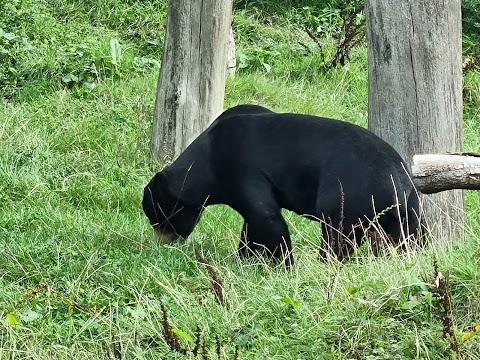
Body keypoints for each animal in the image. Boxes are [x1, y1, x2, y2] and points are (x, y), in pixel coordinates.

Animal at [142, 102, 420, 266]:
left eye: (159, 219)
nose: (161, 243)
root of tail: (399, 181)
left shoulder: (239, 168)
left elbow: (266, 218)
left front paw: (282, 264)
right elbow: (251, 224)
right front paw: (245, 257)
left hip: (347, 198)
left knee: (337, 237)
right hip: (409, 211)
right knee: (410, 237)